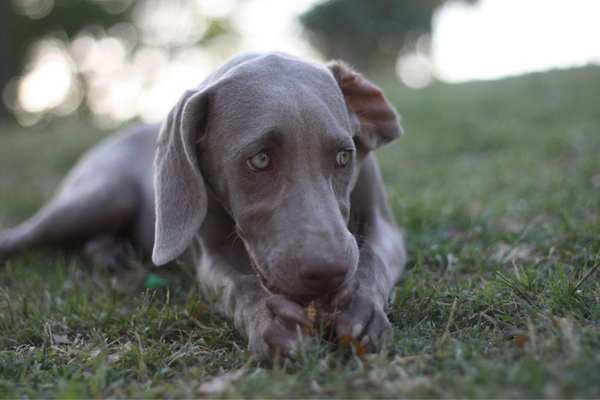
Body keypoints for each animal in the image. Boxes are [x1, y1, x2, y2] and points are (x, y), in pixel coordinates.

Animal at [0, 52, 408, 362]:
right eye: (259, 160)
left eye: (344, 157)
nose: (327, 272)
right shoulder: (210, 254)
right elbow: (238, 285)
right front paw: (270, 321)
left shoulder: (384, 226)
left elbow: (373, 260)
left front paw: (361, 311)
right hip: (101, 196)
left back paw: (114, 255)